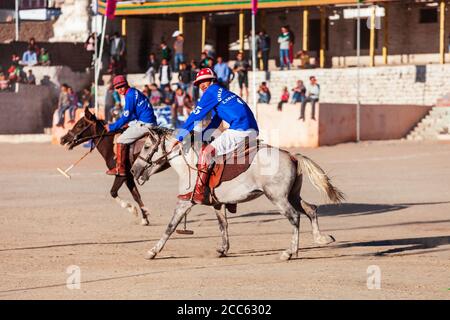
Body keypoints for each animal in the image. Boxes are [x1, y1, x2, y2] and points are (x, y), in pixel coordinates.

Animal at [131, 127, 344, 260]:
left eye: (147, 147)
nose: (133, 170)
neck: (189, 163)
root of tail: (292, 155)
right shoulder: (217, 204)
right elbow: (223, 225)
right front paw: (222, 249)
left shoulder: (184, 203)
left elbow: (170, 227)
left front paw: (152, 251)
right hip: (292, 195)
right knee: (311, 209)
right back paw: (321, 238)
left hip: (277, 198)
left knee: (294, 217)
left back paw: (289, 252)